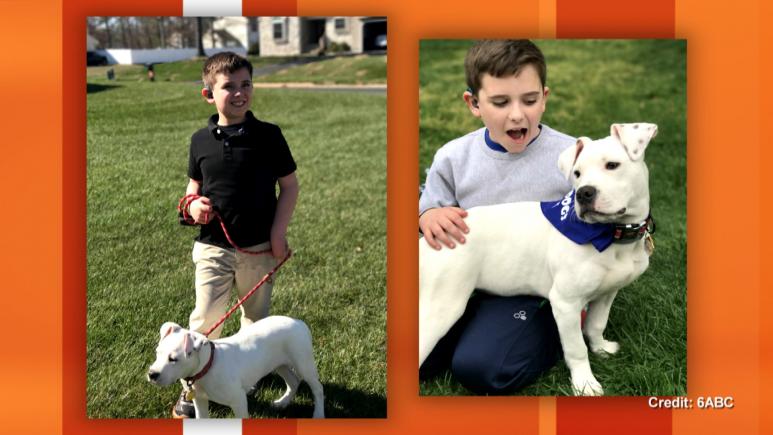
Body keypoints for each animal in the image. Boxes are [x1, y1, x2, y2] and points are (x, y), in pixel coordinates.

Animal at [147, 316, 322, 418]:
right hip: (279, 363)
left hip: (303, 362)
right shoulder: (200, 400)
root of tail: (299, 322)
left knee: (317, 388)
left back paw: (318, 415)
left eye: (173, 359)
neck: (206, 368)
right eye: (157, 353)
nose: (152, 374)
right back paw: (282, 403)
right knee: (293, 381)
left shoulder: (238, 400)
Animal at [416, 122, 656, 396]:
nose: (584, 193)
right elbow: (576, 349)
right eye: (577, 173)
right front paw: (584, 383)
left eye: (612, 165)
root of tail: (427, 241)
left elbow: (596, 324)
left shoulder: (607, 293)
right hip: (442, 306)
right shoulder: (565, 303)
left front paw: (600, 348)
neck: (611, 236)